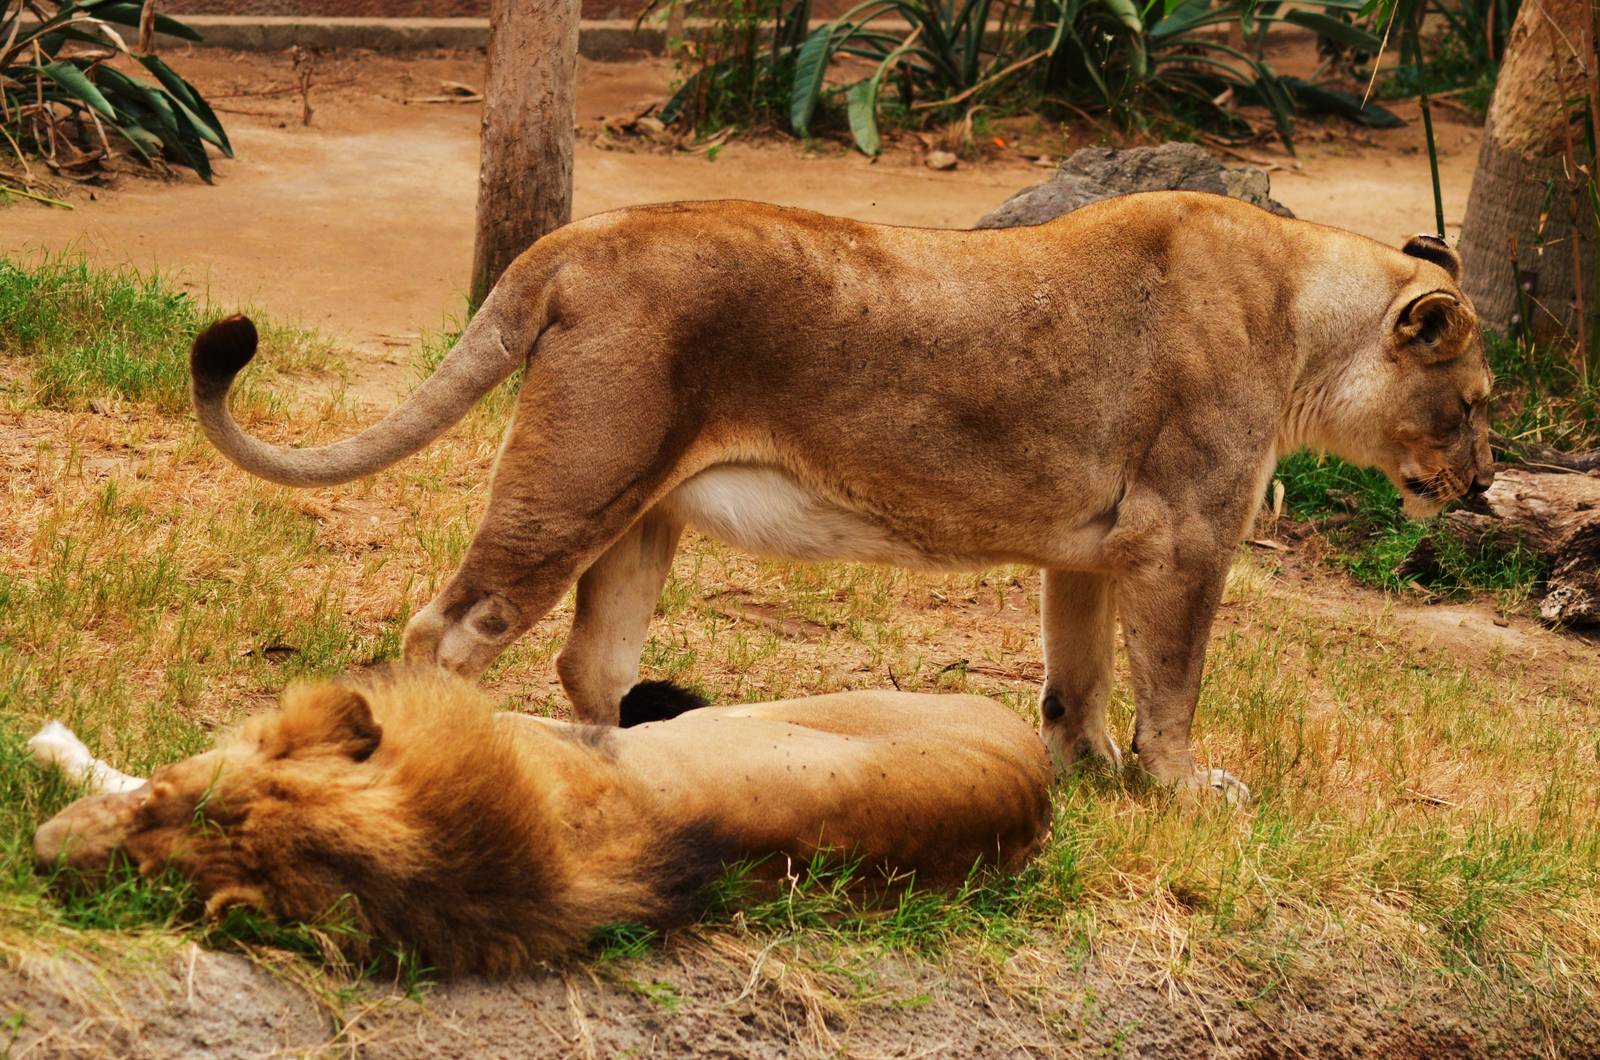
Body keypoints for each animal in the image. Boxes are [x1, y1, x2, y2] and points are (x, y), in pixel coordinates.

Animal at [188, 192, 1495, 799]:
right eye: (1476, 399)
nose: (1484, 484)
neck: (1308, 322)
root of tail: (573, 238)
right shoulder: (1184, 538)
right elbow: (1171, 683)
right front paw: (1179, 789)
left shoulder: (1091, 550)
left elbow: (1076, 676)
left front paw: (1084, 777)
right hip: (578, 481)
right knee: (449, 627)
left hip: (641, 514)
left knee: (589, 667)